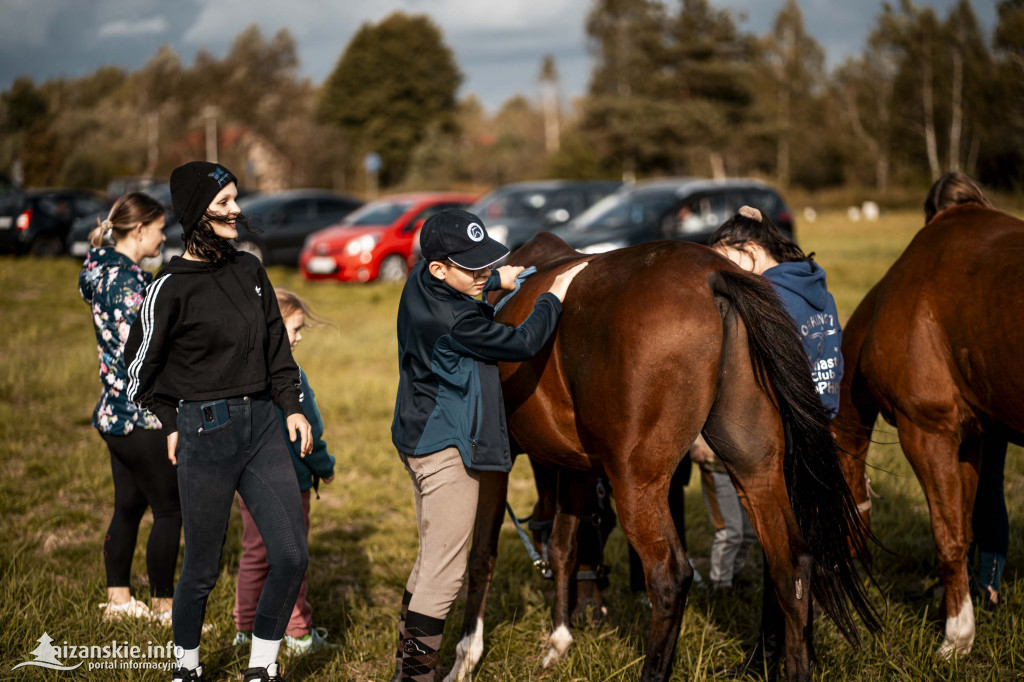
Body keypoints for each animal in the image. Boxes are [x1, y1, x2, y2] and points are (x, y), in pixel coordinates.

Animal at [444, 235, 876, 679]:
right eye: (600, 526)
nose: (592, 613)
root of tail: (712, 275)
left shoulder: (497, 462)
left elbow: (482, 554)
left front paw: (466, 655)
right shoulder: (576, 466)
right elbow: (563, 545)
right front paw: (559, 641)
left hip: (637, 483)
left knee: (670, 576)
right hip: (756, 468)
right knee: (791, 562)